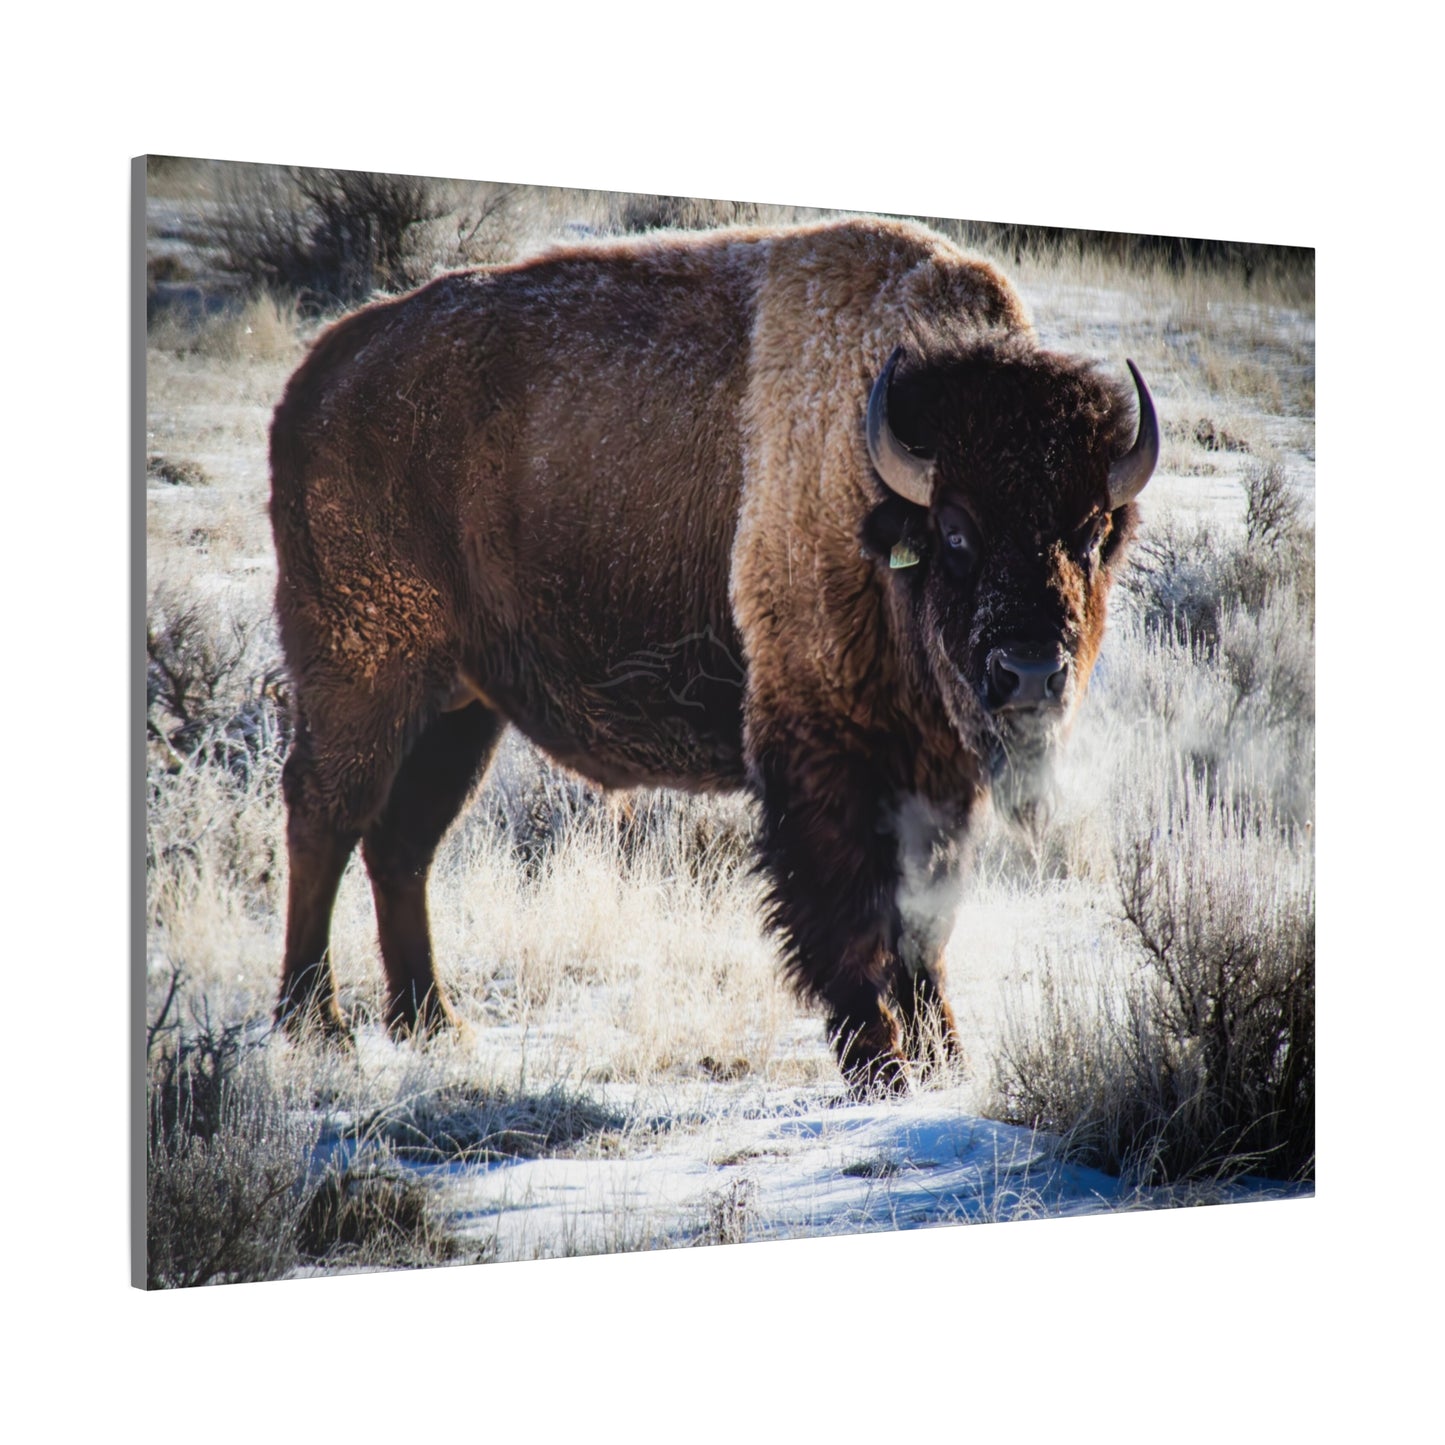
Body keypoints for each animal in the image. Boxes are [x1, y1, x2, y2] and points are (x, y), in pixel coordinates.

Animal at [268, 216, 1157, 1092]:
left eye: (1088, 534)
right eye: (956, 531)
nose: (1029, 672)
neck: (874, 490)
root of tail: (319, 375)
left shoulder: (936, 772)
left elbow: (923, 921)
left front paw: (946, 1061)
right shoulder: (824, 752)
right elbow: (849, 914)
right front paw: (882, 1067)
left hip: (459, 709)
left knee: (402, 844)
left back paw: (430, 1022)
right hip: (363, 676)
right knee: (325, 818)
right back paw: (316, 1024)